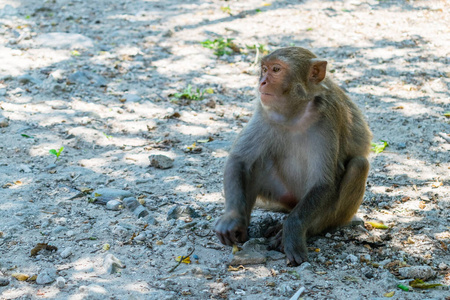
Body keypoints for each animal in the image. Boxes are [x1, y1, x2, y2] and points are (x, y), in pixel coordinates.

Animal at [214, 46, 372, 264]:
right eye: (264, 69)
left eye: (276, 69)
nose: (262, 82)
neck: (295, 112)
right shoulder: (264, 112)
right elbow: (239, 161)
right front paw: (232, 219)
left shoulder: (328, 116)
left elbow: (324, 182)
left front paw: (291, 233)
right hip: (283, 194)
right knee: (256, 163)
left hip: (334, 213)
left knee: (358, 165)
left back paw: (302, 230)